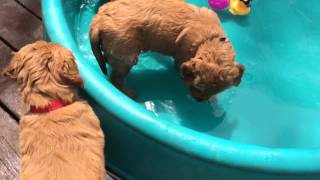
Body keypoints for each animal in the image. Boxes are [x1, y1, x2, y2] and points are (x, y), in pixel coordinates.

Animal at [89, 0, 244, 100]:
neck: (210, 39)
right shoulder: (182, 57)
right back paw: (130, 93)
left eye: (215, 92)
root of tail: (99, 18)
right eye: (196, 87)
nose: (199, 100)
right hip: (126, 55)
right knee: (115, 78)